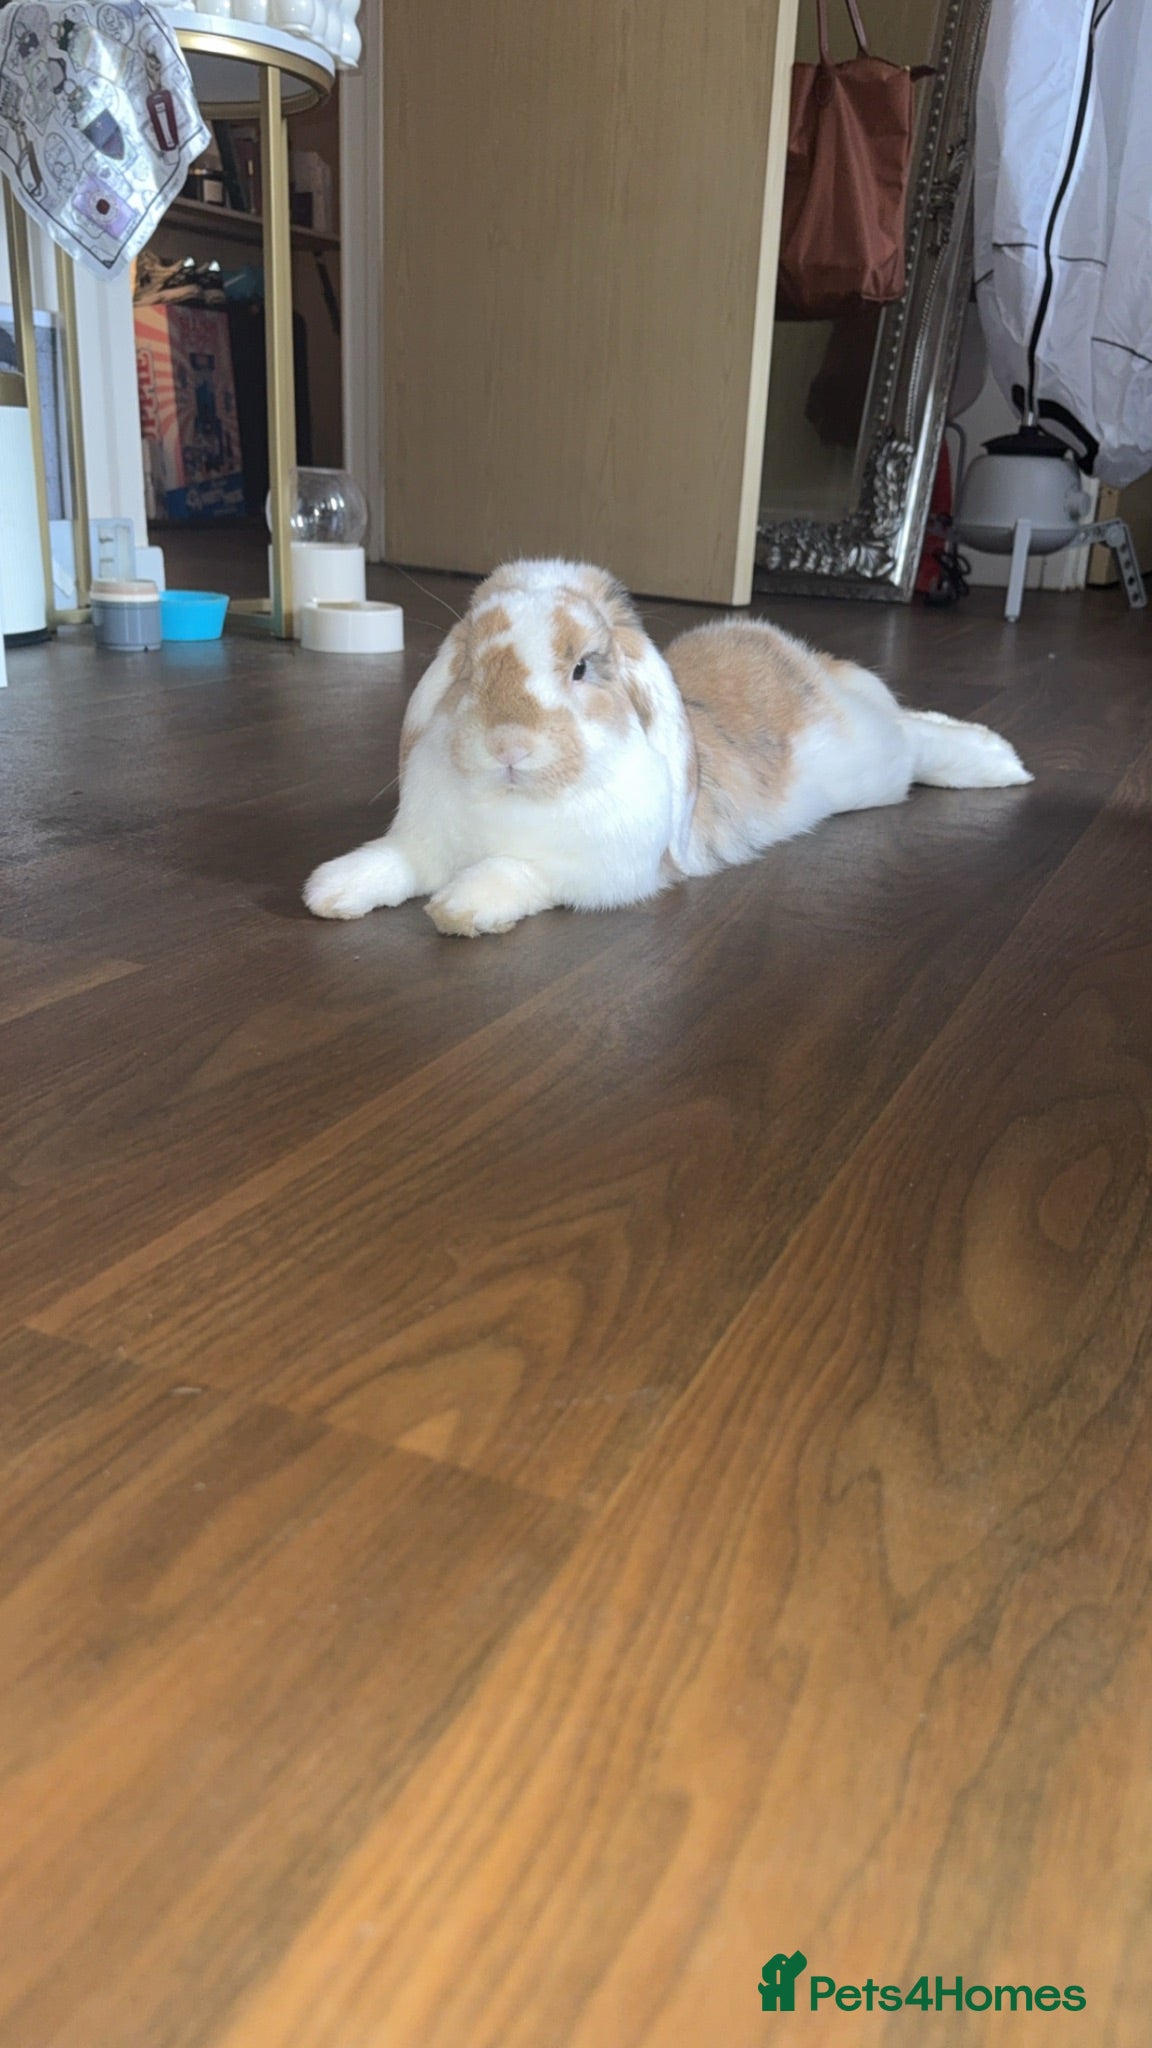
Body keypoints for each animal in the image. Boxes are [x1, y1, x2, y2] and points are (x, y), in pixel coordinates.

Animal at [303, 558, 1030, 937]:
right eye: (469, 670)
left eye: (583, 668)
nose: (509, 746)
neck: (516, 800)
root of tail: (801, 660)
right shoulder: (423, 843)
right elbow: (393, 861)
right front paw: (331, 889)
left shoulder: (597, 872)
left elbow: (518, 872)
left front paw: (462, 908)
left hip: (875, 769)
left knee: (914, 734)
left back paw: (998, 761)